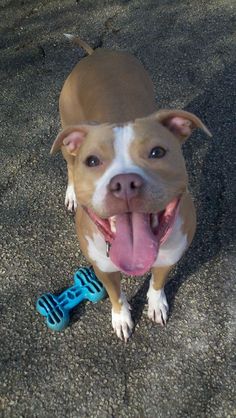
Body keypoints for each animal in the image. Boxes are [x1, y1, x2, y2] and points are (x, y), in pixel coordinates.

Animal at [51, 37, 210, 342]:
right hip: (66, 138)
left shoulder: (170, 256)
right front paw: (121, 318)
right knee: (69, 165)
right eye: (92, 161)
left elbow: (157, 283)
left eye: (157, 152)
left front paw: (156, 304)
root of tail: (96, 54)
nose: (124, 183)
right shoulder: (103, 268)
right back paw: (72, 194)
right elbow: (116, 296)